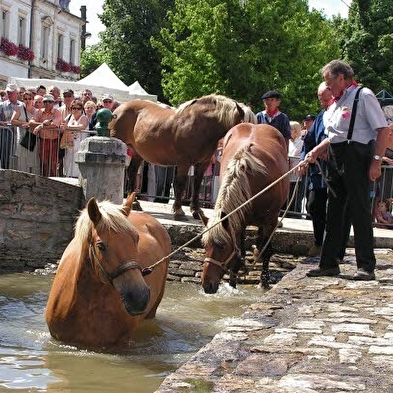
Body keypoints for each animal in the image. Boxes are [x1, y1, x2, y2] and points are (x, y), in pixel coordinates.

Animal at [109, 93, 258, 219]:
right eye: (244, 127)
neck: (202, 126)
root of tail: (118, 109)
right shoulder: (184, 163)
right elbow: (180, 184)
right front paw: (179, 211)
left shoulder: (203, 164)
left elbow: (196, 186)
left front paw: (196, 211)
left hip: (137, 153)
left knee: (132, 172)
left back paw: (134, 203)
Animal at [199, 124, 288, 292]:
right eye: (204, 245)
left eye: (222, 246)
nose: (207, 285)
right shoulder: (238, 221)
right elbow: (239, 252)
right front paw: (233, 283)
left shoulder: (271, 219)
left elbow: (267, 251)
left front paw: (263, 281)